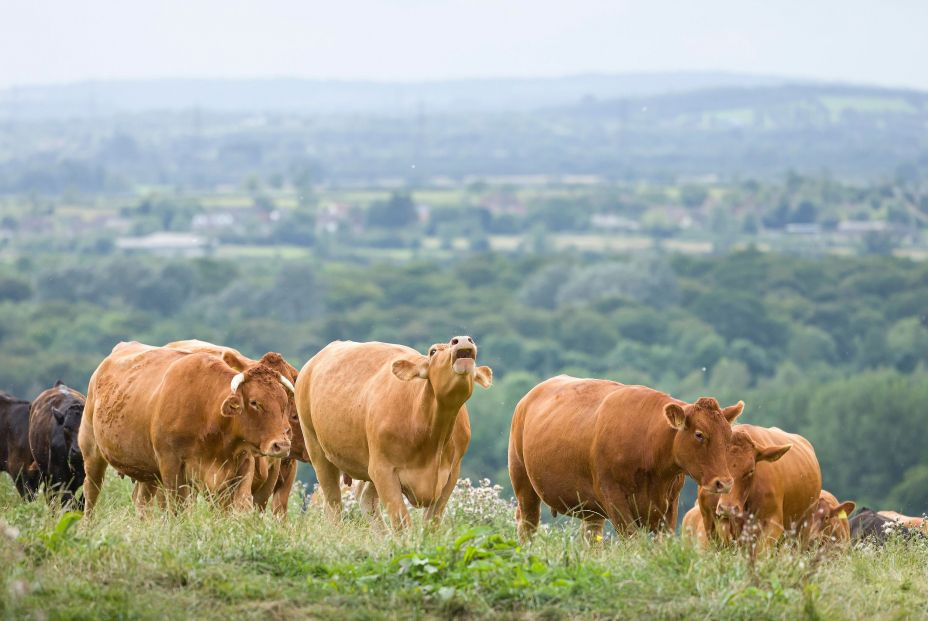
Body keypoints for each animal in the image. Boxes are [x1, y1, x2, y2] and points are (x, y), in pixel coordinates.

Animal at [296, 336, 492, 532]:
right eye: (433, 351)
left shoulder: (452, 472)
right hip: (316, 448)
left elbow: (432, 523)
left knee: (365, 499)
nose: (462, 339)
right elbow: (402, 522)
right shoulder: (383, 470)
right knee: (333, 503)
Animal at [508, 376, 740, 540]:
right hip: (523, 482)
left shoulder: (670, 502)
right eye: (699, 434)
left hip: (590, 508)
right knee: (528, 524)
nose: (725, 483)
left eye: (728, 435)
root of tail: (527, 398)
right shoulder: (613, 497)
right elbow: (632, 539)